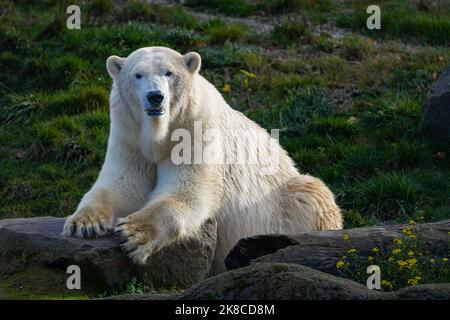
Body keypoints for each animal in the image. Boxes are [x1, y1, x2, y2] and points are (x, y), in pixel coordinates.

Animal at [63, 47, 342, 272]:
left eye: (169, 73)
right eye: (137, 75)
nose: (155, 97)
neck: (160, 133)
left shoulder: (195, 127)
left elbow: (188, 190)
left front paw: (134, 234)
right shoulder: (128, 135)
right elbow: (123, 184)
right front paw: (83, 223)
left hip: (287, 198)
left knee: (311, 193)